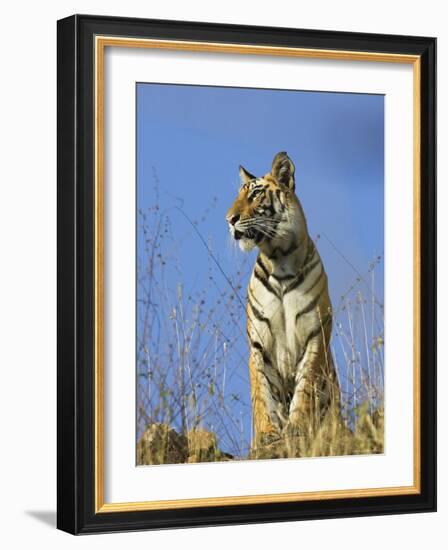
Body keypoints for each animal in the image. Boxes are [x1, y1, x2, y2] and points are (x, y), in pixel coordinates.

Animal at [226, 152, 342, 462]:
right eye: (238, 195)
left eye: (255, 193)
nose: (229, 219)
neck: (280, 259)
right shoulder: (258, 343)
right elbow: (262, 394)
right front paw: (268, 436)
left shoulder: (314, 335)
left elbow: (304, 389)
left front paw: (296, 430)